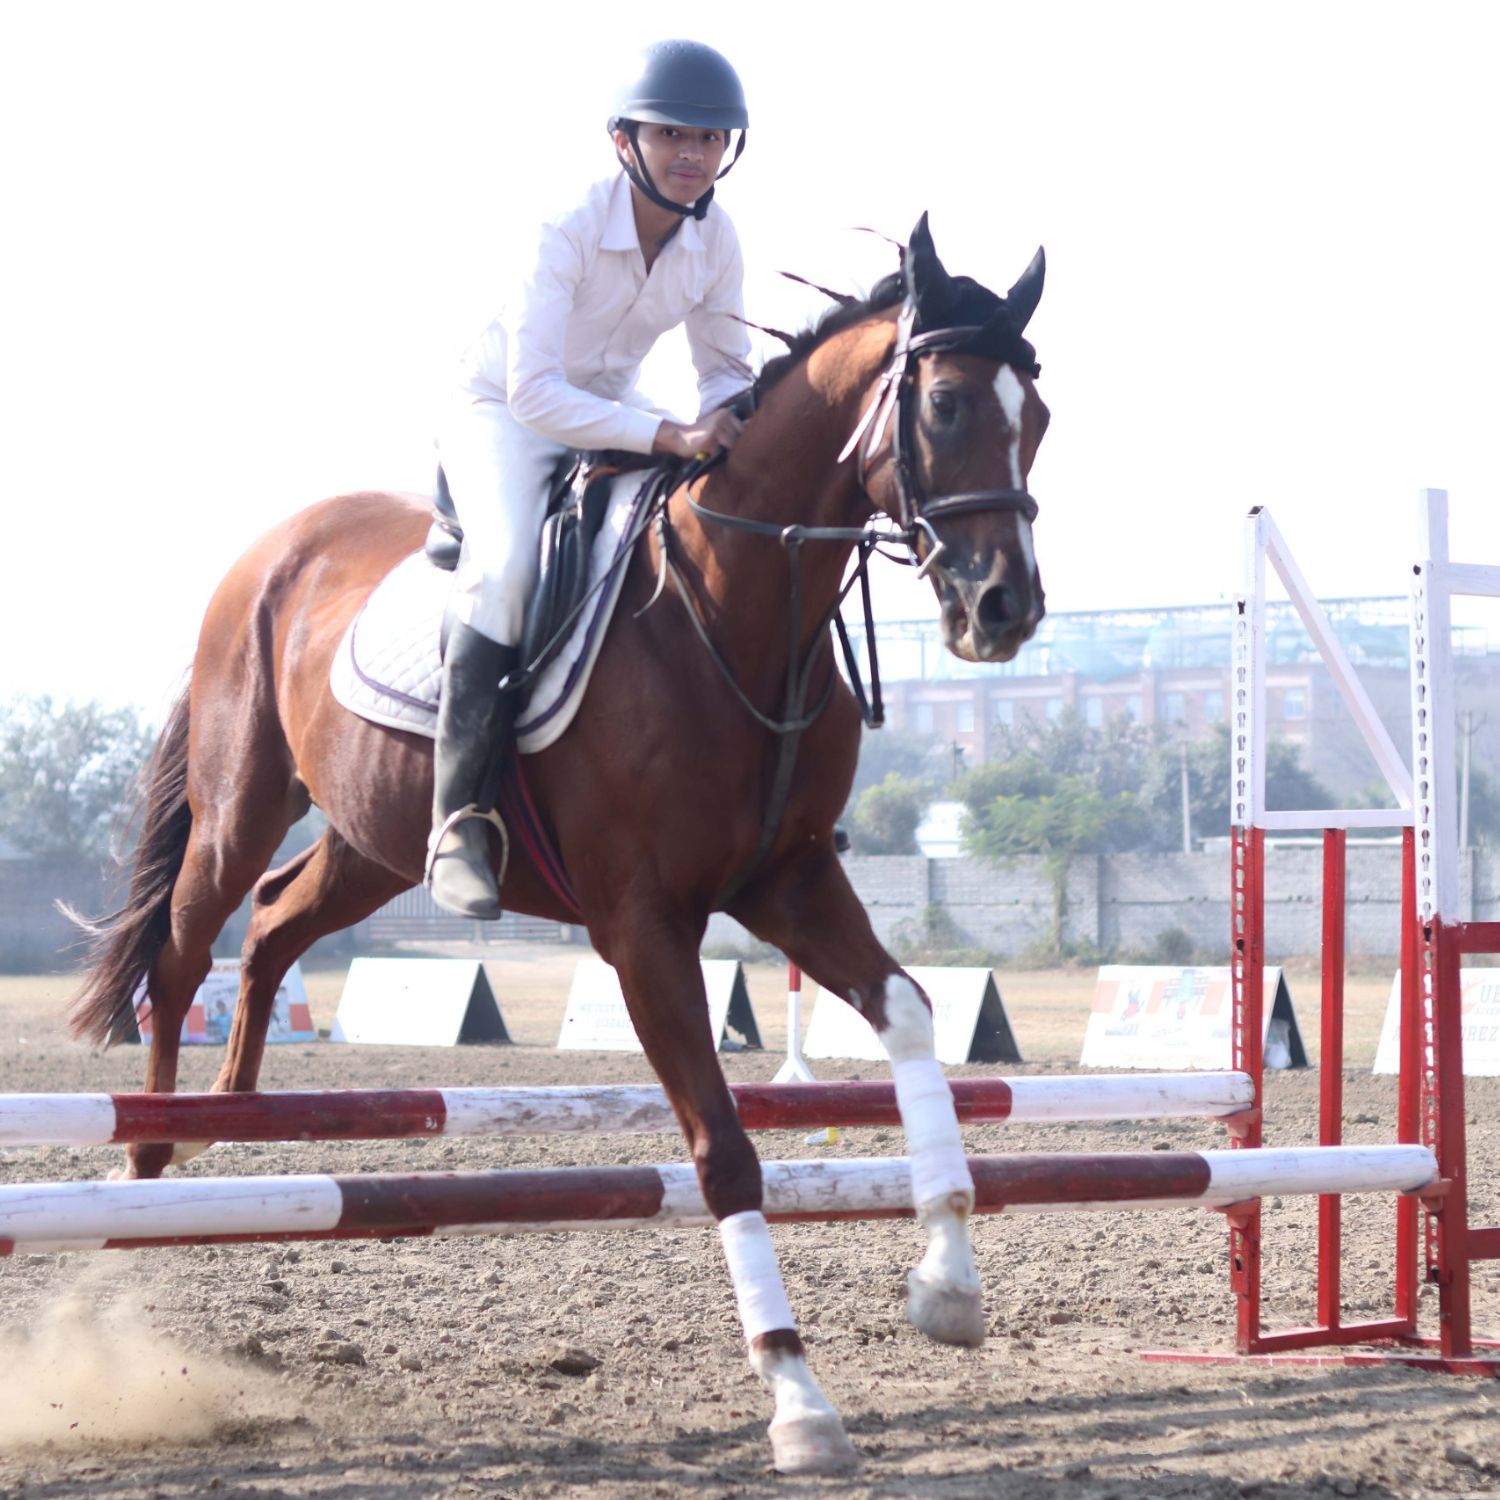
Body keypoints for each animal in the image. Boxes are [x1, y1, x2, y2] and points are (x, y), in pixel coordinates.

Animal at [67, 214, 1050, 1474]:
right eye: (946, 406)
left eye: (1039, 415)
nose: (1005, 610)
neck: (731, 607)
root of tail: (272, 549)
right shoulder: (642, 927)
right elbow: (724, 1150)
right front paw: (797, 1399)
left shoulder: (786, 882)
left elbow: (914, 1017)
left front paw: (946, 1289)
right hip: (243, 797)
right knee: (186, 948)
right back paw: (151, 1165)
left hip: (377, 839)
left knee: (279, 918)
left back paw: (238, 1121)